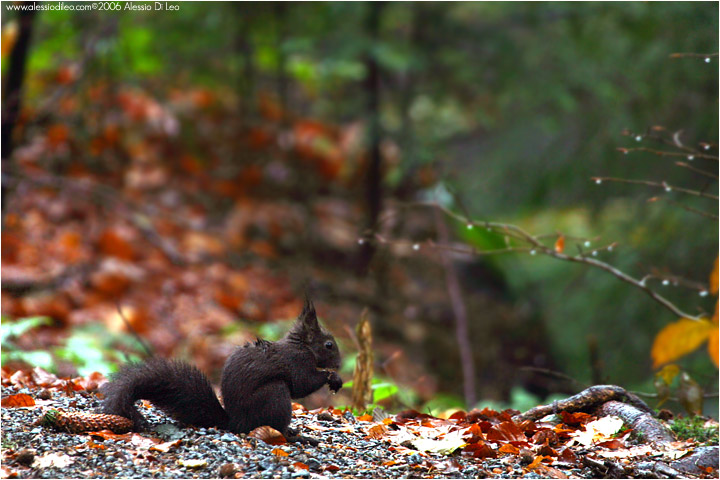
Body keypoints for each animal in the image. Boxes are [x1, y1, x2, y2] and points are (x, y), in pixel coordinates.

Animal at [100, 298, 344, 444]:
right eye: (329, 345)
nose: (340, 364)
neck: (301, 346)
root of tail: (236, 423)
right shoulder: (296, 362)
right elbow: (302, 384)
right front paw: (332, 377)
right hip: (275, 395)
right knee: (277, 424)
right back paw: (296, 437)